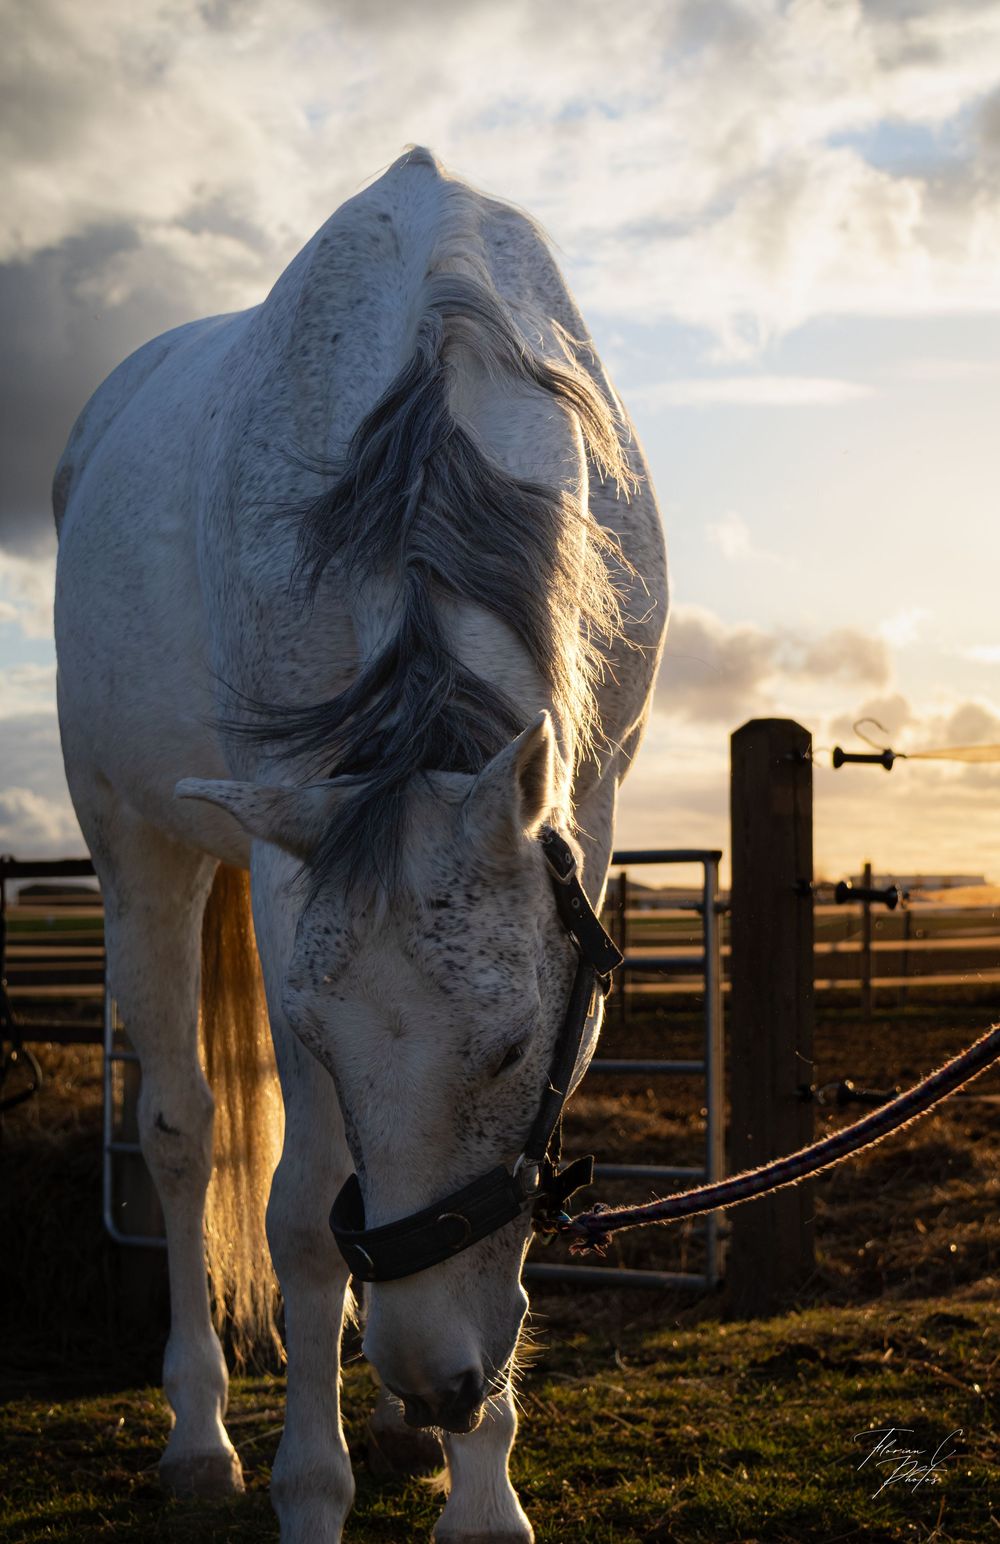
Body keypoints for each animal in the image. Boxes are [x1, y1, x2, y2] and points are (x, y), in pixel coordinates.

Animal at [53, 146, 668, 1542]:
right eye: (325, 1041)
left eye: (512, 1043)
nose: (438, 1375)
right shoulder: (289, 864)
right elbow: (298, 1214)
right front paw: (311, 1484)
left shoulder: (587, 808)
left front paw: (478, 1490)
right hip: (137, 846)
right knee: (183, 1131)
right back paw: (204, 1432)